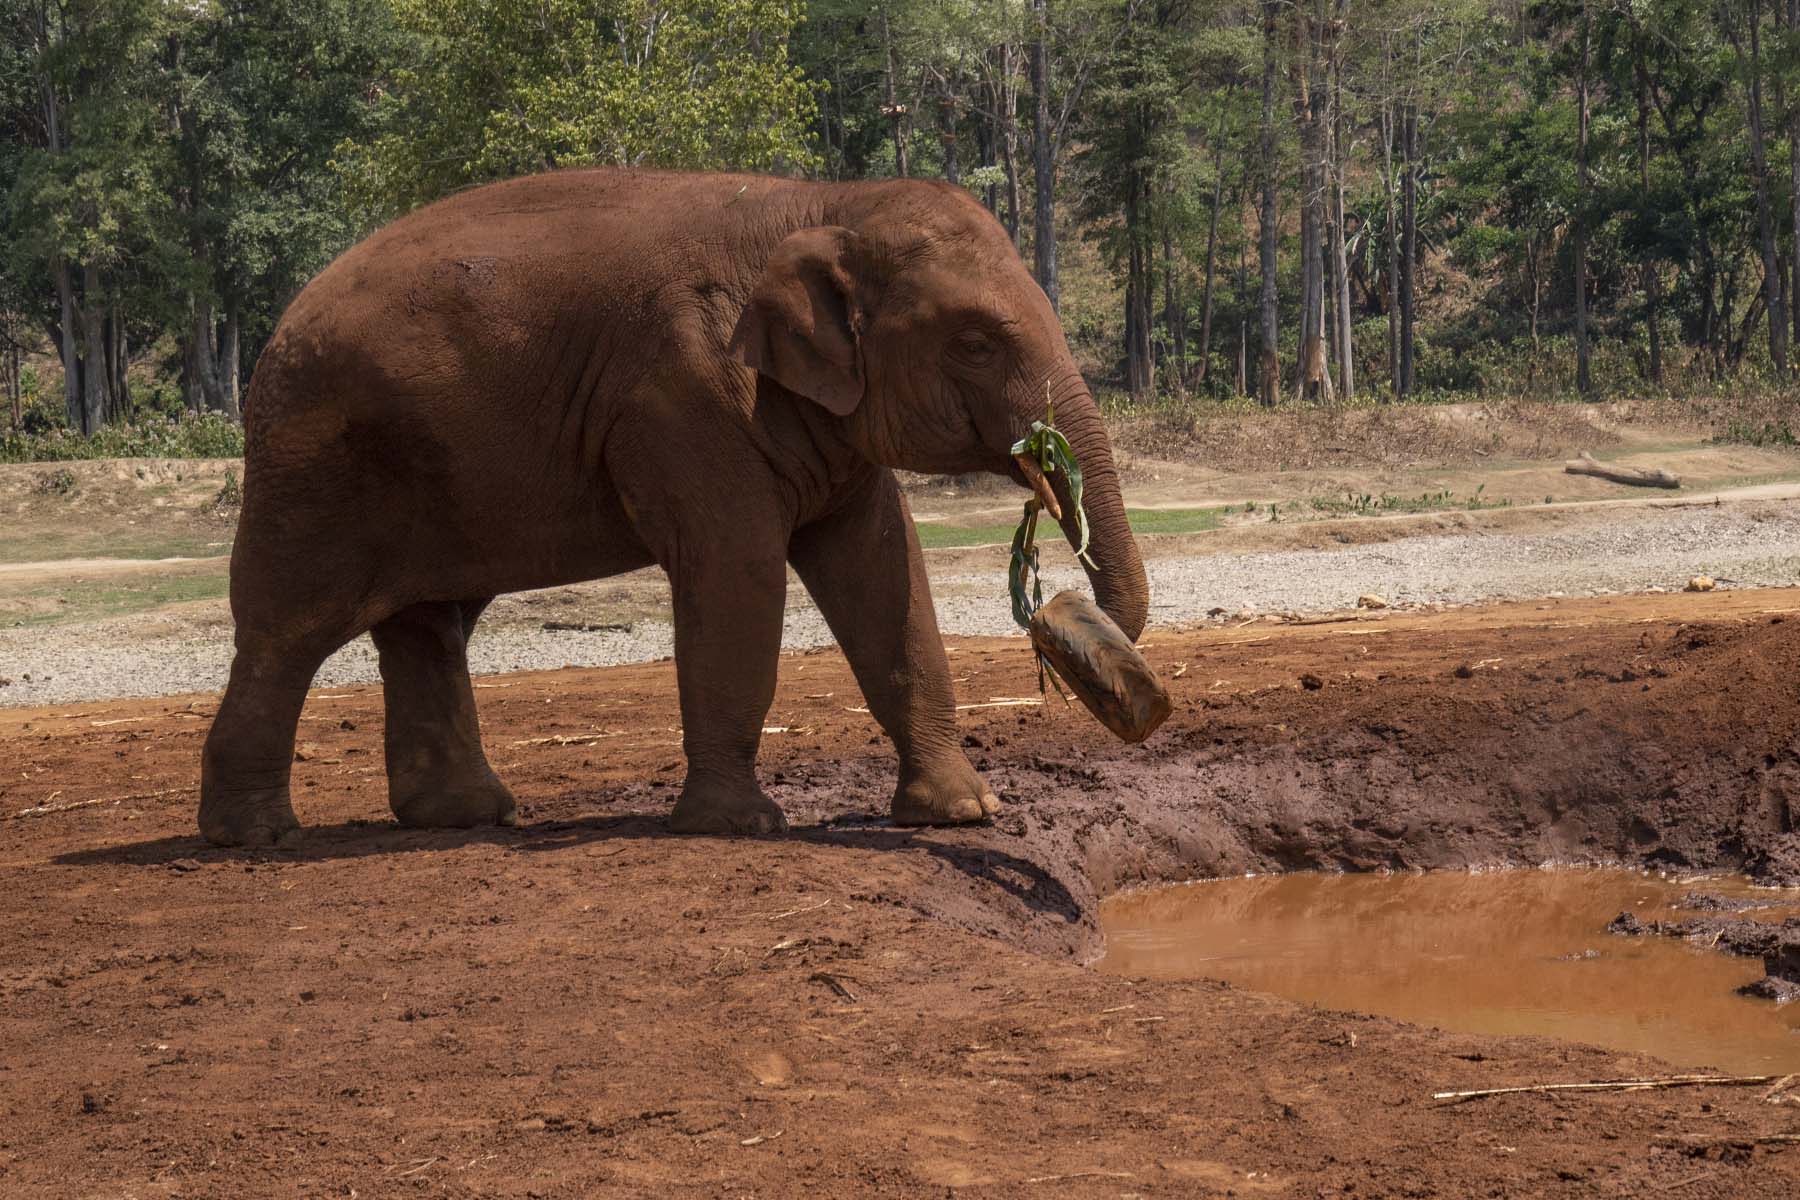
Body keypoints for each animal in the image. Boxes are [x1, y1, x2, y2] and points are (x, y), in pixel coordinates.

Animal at [198, 168, 1150, 846]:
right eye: (977, 342)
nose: (1080, 639)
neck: (820, 200)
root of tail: (279, 327)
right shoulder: (686, 396)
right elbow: (739, 574)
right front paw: (740, 826)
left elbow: (885, 572)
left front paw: (963, 813)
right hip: (312, 466)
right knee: (289, 632)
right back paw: (256, 836)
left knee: (431, 626)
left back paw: (467, 816)